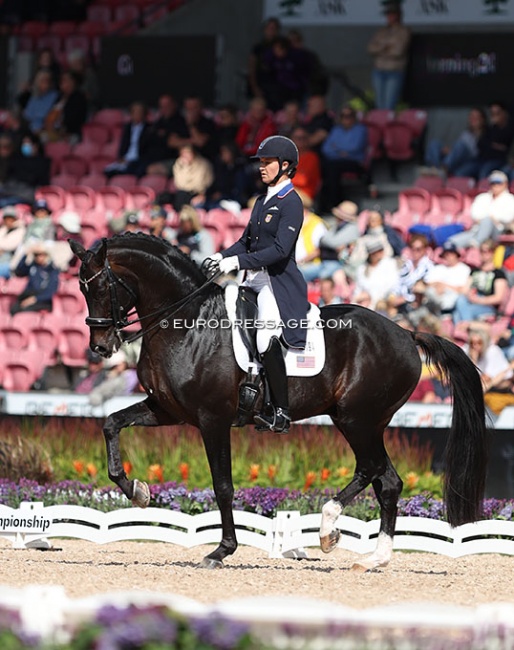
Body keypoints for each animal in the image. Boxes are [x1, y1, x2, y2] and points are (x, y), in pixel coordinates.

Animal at [70, 235, 486, 568]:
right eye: (81, 288)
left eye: (102, 285)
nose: (100, 347)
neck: (188, 323)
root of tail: (406, 333)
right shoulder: (168, 410)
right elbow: (111, 424)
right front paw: (138, 491)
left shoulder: (212, 419)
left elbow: (223, 485)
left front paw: (221, 551)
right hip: (365, 422)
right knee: (389, 482)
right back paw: (375, 558)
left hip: (357, 419)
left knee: (370, 470)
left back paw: (328, 530)